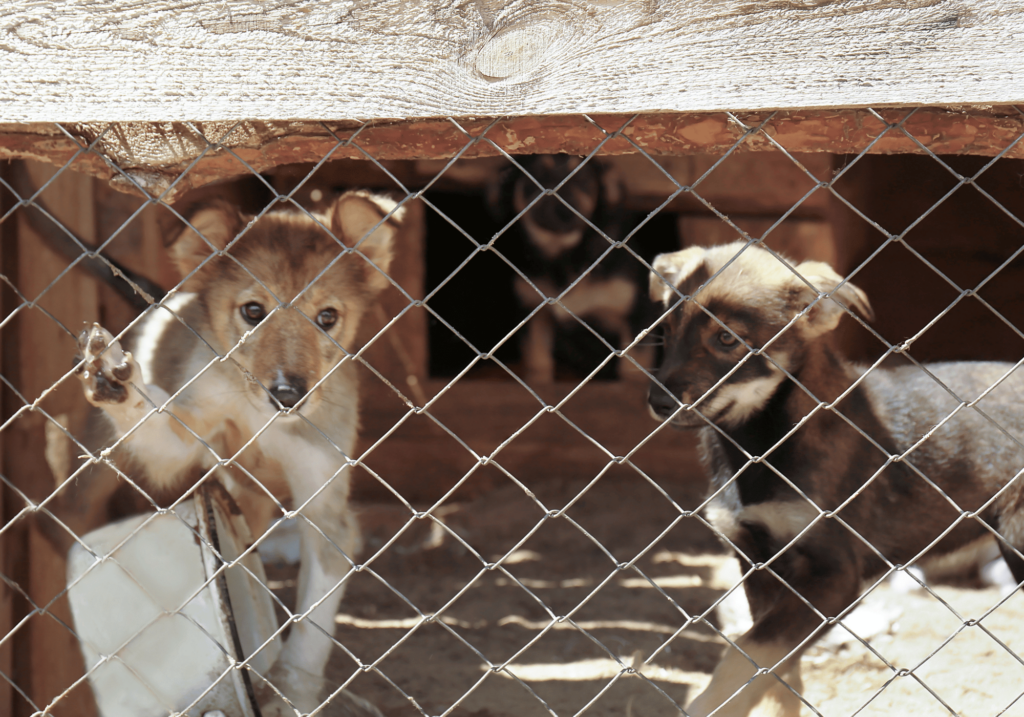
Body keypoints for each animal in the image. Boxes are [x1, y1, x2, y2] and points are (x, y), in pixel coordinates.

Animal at [72, 190, 397, 717]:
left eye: (327, 317)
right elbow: (157, 427)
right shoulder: (188, 435)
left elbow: (313, 623)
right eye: (252, 311)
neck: (266, 423)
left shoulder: (325, 508)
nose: (288, 395)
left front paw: (290, 689)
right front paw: (123, 389)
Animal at [489, 154, 647, 383]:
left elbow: (632, 369)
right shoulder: (533, 315)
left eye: (583, 179)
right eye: (539, 175)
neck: (565, 258)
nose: (564, 213)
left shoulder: (637, 314)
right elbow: (538, 362)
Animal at [647, 242, 1024, 717]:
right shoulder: (758, 563)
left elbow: (747, 651)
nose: (656, 401)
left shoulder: (835, 573)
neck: (756, 445)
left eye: (727, 338)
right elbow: (776, 665)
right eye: (666, 330)